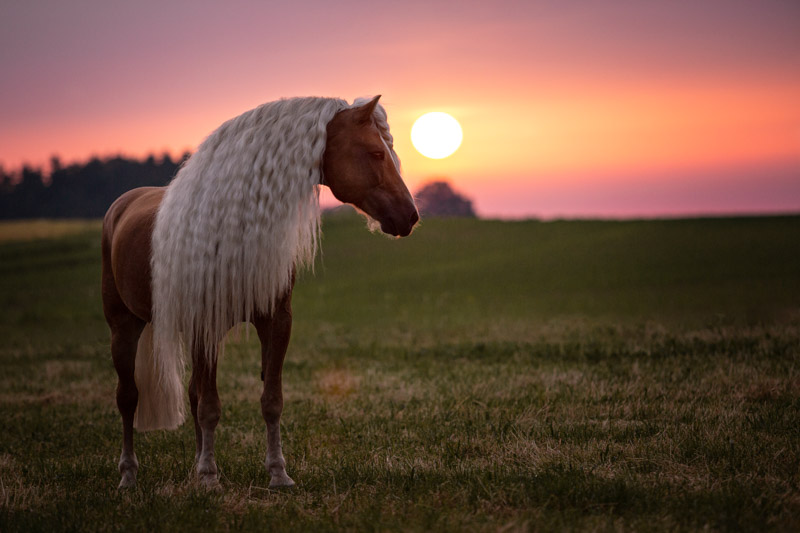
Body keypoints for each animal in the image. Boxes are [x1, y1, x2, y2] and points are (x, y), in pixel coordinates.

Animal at [100, 94, 418, 486]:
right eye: (375, 152)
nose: (410, 215)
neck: (231, 226)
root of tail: (122, 206)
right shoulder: (206, 324)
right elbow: (210, 406)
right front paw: (210, 477)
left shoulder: (275, 321)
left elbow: (270, 400)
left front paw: (277, 473)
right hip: (123, 326)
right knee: (129, 397)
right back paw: (130, 475)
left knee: (190, 393)